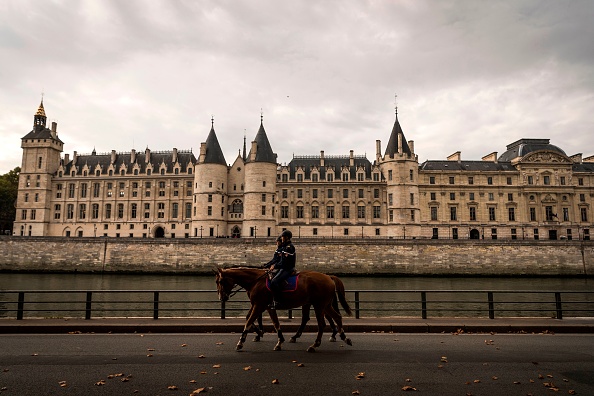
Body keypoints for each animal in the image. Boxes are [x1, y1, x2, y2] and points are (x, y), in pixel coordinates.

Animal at [214, 268, 350, 352]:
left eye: (220, 281)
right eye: (216, 281)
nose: (221, 298)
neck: (256, 281)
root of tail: (329, 276)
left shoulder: (260, 305)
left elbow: (249, 321)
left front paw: (241, 342)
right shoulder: (265, 306)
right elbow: (273, 323)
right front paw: (277, 340)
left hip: (319, 305)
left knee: (322, 324)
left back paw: (314, 345)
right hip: (322, 305)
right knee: (336, 317)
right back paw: (344, 337)